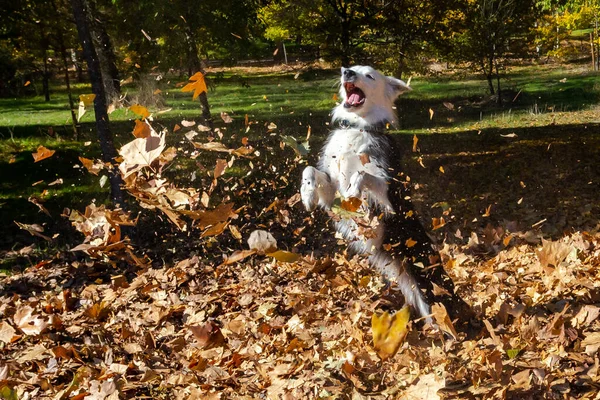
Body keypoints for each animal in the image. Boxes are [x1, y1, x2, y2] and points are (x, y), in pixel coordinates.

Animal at [302, 65, 462, 322]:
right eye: (352, 68)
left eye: (369, 75)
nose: (346, 71)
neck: (359, 126)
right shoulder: (331, 195)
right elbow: (310, 170)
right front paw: (306, 192)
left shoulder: (387, 199)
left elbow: (363, 176)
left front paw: (354, 190)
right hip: (410, 286)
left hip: (429, 289)